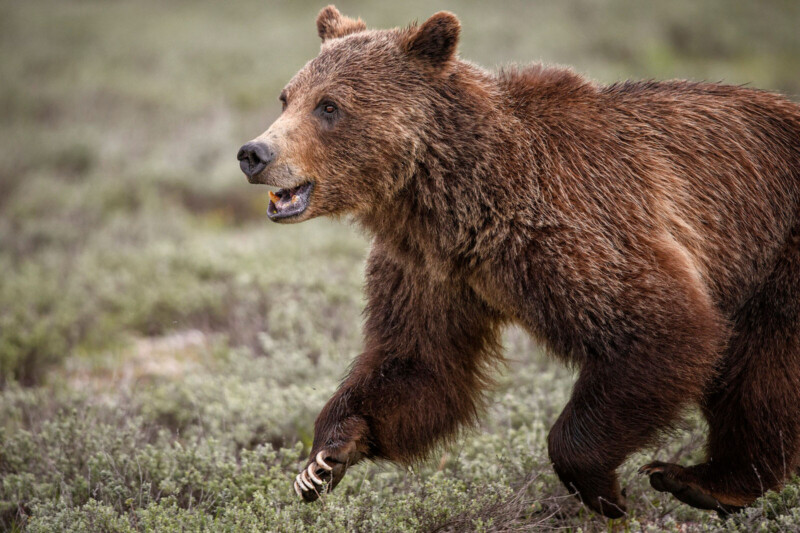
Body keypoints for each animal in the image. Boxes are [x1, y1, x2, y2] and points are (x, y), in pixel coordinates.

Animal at [236, 6, 800, 516]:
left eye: (329, 106)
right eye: (287, 96)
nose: (254, 153)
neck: (460, 206)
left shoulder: (574, 225)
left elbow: (664, 323)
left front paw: (603, 490)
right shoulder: (430, 269)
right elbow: (417, 364)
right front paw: (325, 458)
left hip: (775, 251)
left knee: (759, 371)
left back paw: (704, 481)